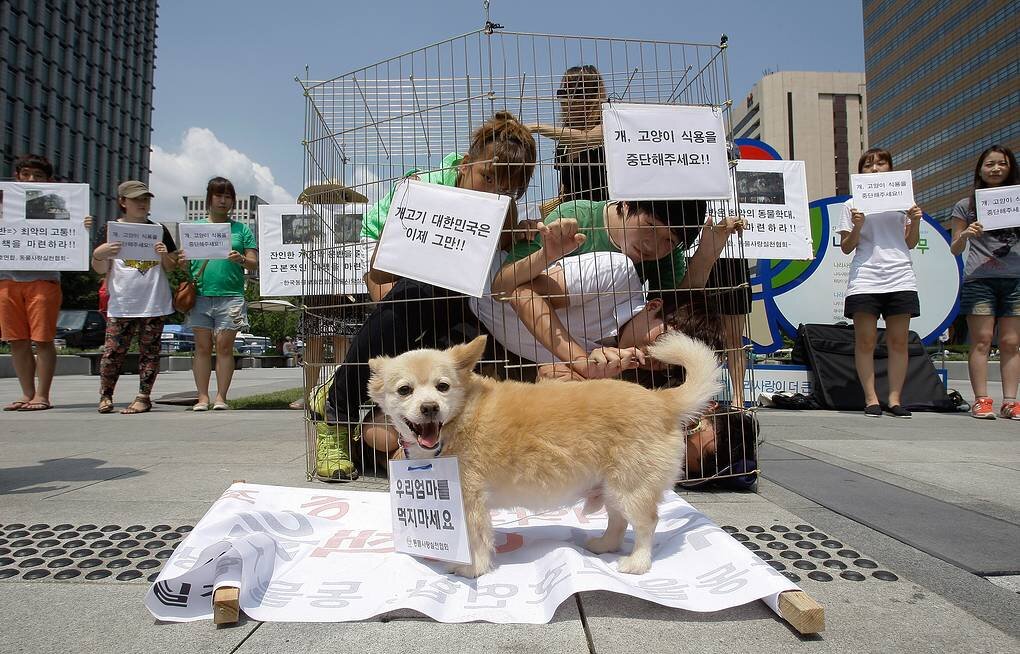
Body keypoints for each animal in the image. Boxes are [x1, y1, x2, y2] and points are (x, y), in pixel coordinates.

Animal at [371, 330, 722, 575]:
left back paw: (637, 562)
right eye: (405, 390)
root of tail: (662, 400)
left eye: (442, 387)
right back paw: (605, 545)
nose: (430, 407)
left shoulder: (470, 498)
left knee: (647, 524)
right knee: (618, 522)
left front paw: (472, 569)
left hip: (631, 487)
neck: (458, 421)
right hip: (613, 488)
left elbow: (476, 537)